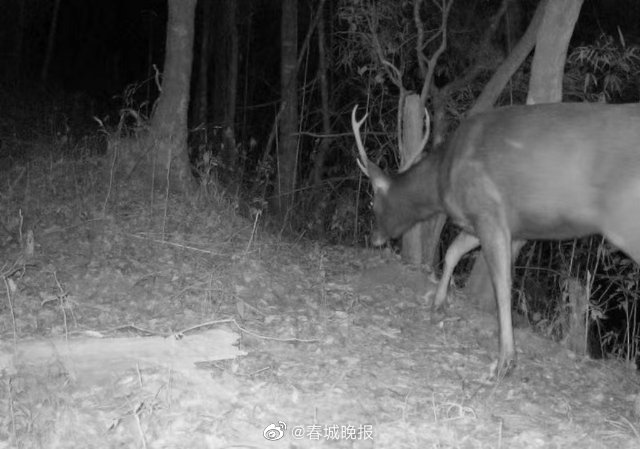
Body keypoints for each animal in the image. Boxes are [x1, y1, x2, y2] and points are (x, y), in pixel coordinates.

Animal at [352, 102, 640, 377]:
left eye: (372, 202)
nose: (373, 238)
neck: (442, 176)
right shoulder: (508, 229)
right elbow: (453, 252)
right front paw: (438, 303)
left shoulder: (488, 211)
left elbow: (501, 285)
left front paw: (505, 361)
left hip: (626, 222)